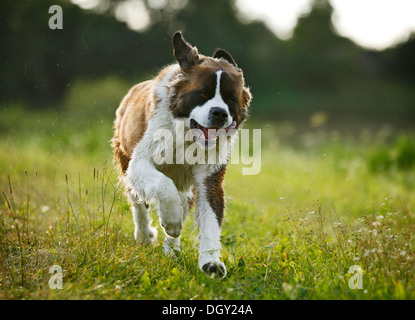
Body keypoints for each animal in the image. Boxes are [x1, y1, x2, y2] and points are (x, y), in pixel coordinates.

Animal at [112, 31, 252, 278]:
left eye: (230, 100)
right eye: (202, 94)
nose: (219, 113)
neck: (186, 133)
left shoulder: (209, 180)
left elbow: (210, 220)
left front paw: (210, 262)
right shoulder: (140, 163)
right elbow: (162, 186)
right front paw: (171, 221)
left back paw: (172, 250)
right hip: (125, 159)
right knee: (138, 202)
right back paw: (145, 235)